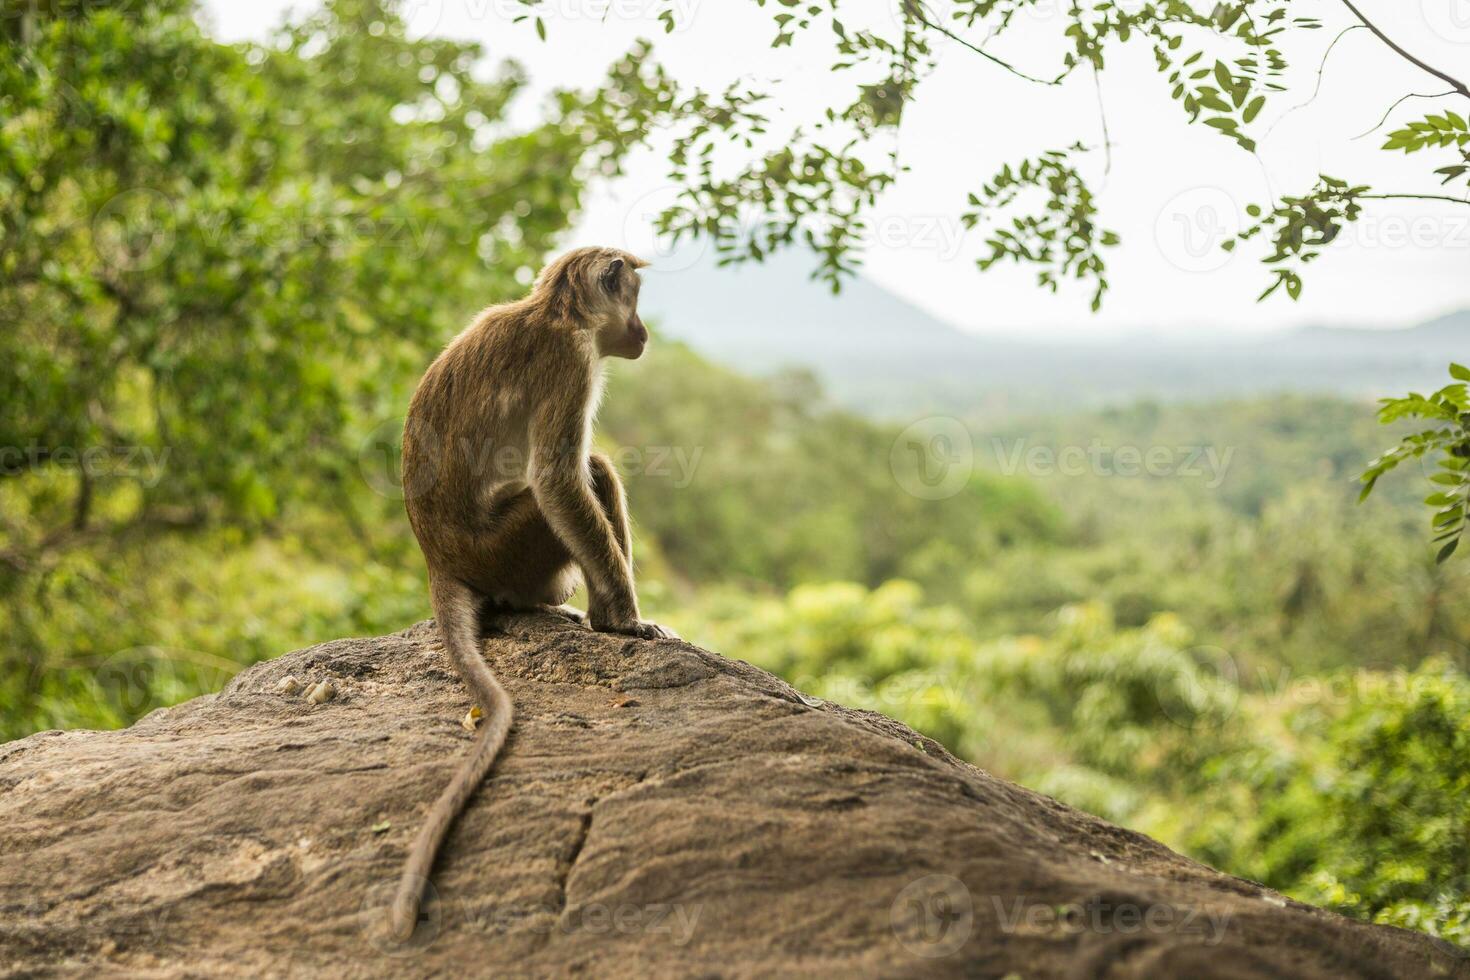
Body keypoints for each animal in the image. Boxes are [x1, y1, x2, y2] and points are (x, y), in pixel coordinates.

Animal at [385, 245, 673, 940]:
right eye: (634, 296)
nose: (644, 330)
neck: (558, 312)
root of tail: (439, 559)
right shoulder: (569, 363)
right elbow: (558, 479)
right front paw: (625, 620)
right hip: (509, 551)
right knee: (590, 471)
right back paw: (594, 613)